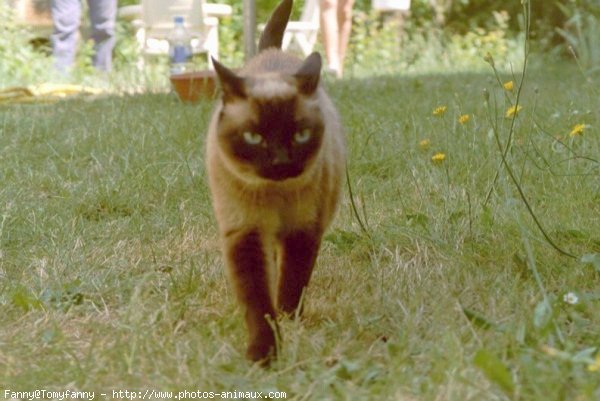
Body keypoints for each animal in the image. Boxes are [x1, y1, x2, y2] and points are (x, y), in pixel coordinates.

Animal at [206, 0, 346, 362]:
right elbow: (257, 301)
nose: (281, 162)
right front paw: (263, 354)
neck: (274, 194)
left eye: (300, 135)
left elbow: (292, 284)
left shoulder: (303, 231)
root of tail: (271, 53)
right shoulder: (246, 233)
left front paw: (288, 321)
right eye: (254, 138)